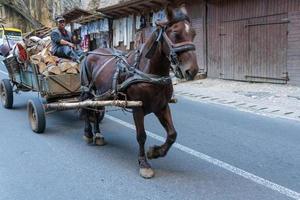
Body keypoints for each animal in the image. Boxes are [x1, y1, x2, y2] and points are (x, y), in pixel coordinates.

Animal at [80, 3, 199, 178]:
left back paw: (98, 134)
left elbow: (172, 134)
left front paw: (155, 152)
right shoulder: (138, 108)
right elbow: (141, 136)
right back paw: (88, 133)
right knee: (86, 107)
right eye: (176, 33)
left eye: (193, 33)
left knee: (95, 110)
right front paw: (144, 163)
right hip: (88, 90)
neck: (149, 71)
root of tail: (91, 52)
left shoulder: (161, 107)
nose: (192, 71)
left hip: (100, 95)